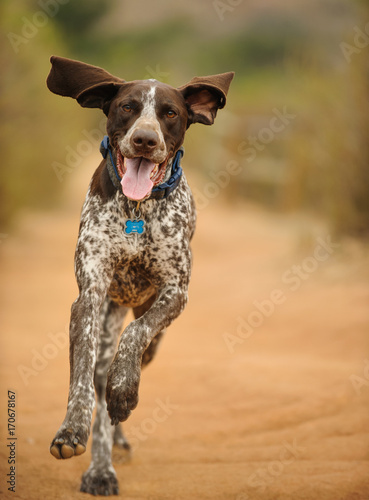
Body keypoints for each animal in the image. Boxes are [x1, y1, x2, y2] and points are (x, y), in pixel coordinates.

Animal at [44, 56, 231, 494]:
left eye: (170, 114)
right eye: (127, 107)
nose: (145, 140)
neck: (137, 212)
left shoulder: (174, 293)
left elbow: (137, 334)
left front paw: (124, 389)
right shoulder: (89, 295)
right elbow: (82, 378)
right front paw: (72, 429)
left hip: (153, 339)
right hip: (107, 318)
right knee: (99, 379)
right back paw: (100, 469)